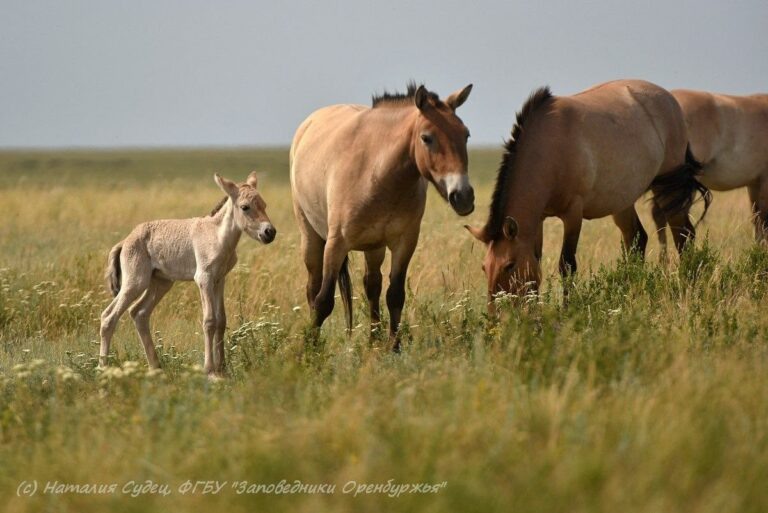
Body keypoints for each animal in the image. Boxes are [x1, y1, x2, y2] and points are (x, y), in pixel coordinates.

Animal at [98, 172, 276, 375]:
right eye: (245, 207)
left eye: (264, 204)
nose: (270, 232)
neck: (217, 235)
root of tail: (124, 241)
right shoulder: (204, 279)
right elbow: (209, 321)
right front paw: (210, 371)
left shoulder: (219, 279)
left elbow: (221, 320)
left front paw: (223, 370)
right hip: (135, 283)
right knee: (109, 317)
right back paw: (103, 368)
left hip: (160, 283)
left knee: (139, 313)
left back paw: (156, 367)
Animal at [290, 82, 474, 350]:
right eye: (426, 138)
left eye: (466, 135)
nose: (464, 196)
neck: (378, 172)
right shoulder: (336, 244)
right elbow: (324, 301)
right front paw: (309, 349)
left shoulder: (405, 243)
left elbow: (394, 295)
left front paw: (393, 347)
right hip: (312, 237)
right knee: (313, 289)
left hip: (374, 246)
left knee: (372, 285)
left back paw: (373, 339)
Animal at [465, 79, 710, 308]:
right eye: (485, 267)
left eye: (509, 265)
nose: (496, 315)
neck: (550, 147)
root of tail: (670, 100)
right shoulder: (540, 218)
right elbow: (536, 261)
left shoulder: (573, 214)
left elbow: (567, 265)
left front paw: (566, 309)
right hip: (623, 202)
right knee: (637, 239)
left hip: (668, 189)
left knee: (683, 236)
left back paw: (688, 284)